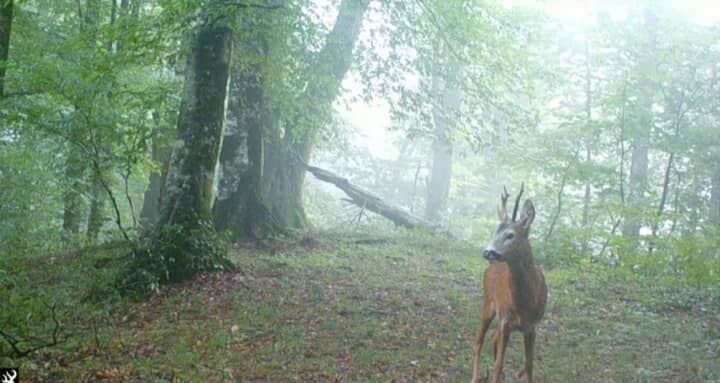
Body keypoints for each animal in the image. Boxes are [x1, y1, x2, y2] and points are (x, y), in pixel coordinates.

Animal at [470, 184, 548, 382]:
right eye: (495, 232)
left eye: (510, 235)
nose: (488, 251)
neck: (526, 303)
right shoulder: (506, 321)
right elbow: (498, 365)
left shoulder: (531, 326)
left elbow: (529, 365)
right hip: (489, 304)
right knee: (479, 341)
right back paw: (475, 377)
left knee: (493, 340)